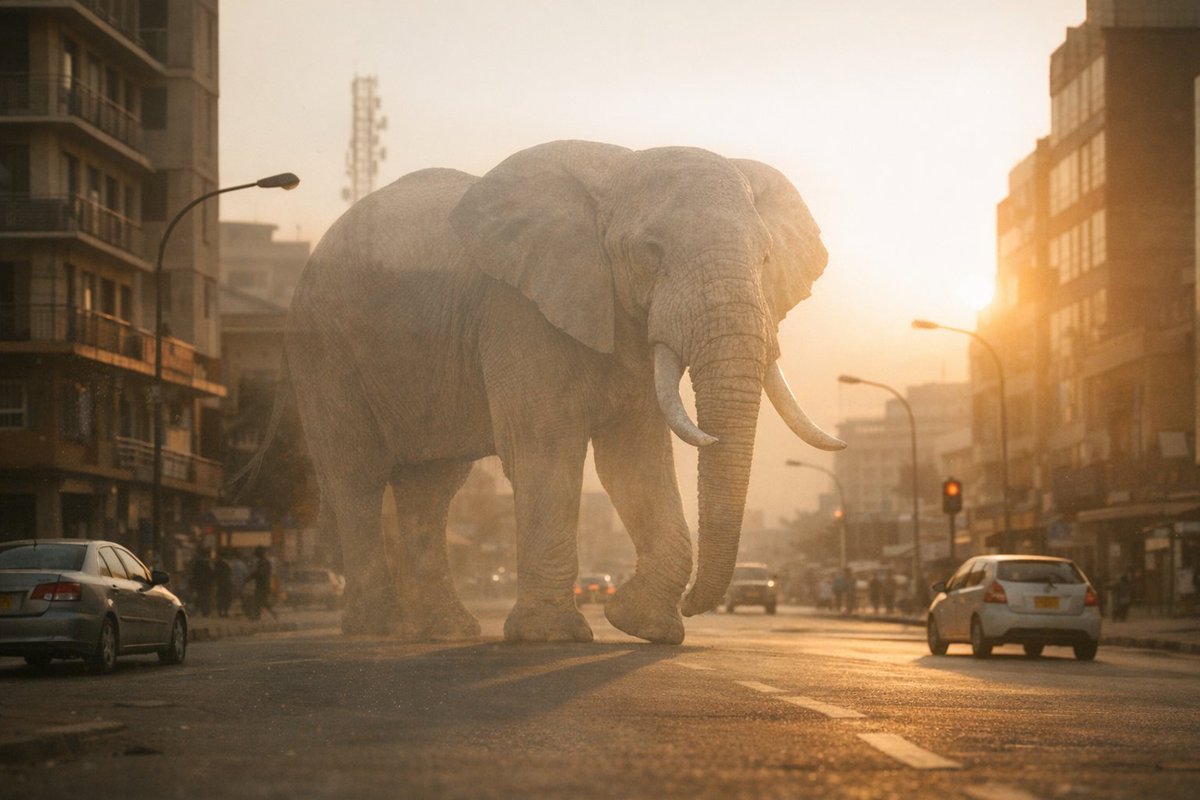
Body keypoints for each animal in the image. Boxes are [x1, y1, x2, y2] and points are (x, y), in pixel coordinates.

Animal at [283, 139, 844, 645]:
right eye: (651, 253)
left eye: (766, 258)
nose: (700, 606)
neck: (621, 167)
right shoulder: (518, 309)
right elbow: (546, 449)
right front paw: (553, 637)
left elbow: (634, 463)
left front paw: (644, 626)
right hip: (323, 349)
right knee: (357, 477)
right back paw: (379, 628)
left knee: (432, 488)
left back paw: (446, 631)